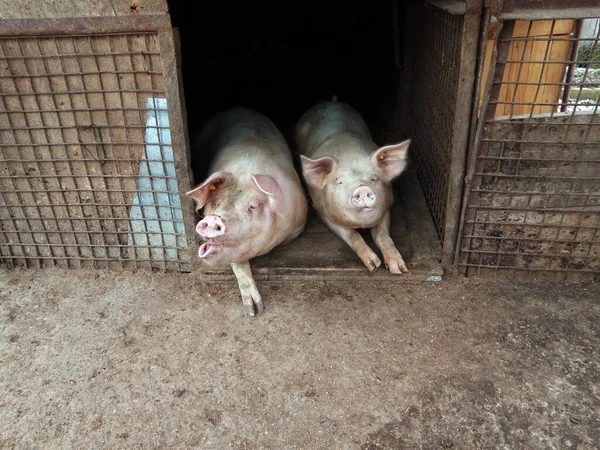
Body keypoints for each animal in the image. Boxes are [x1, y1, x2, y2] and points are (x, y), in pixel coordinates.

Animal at [296, 98, 412, 274]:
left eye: (374, 178)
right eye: (339, 181)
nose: (362, 188)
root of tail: (332, 101)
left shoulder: (386, 207)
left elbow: (382, 235)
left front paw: (399, 269)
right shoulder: (324, 213)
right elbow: (352, 234)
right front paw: (374, 265)